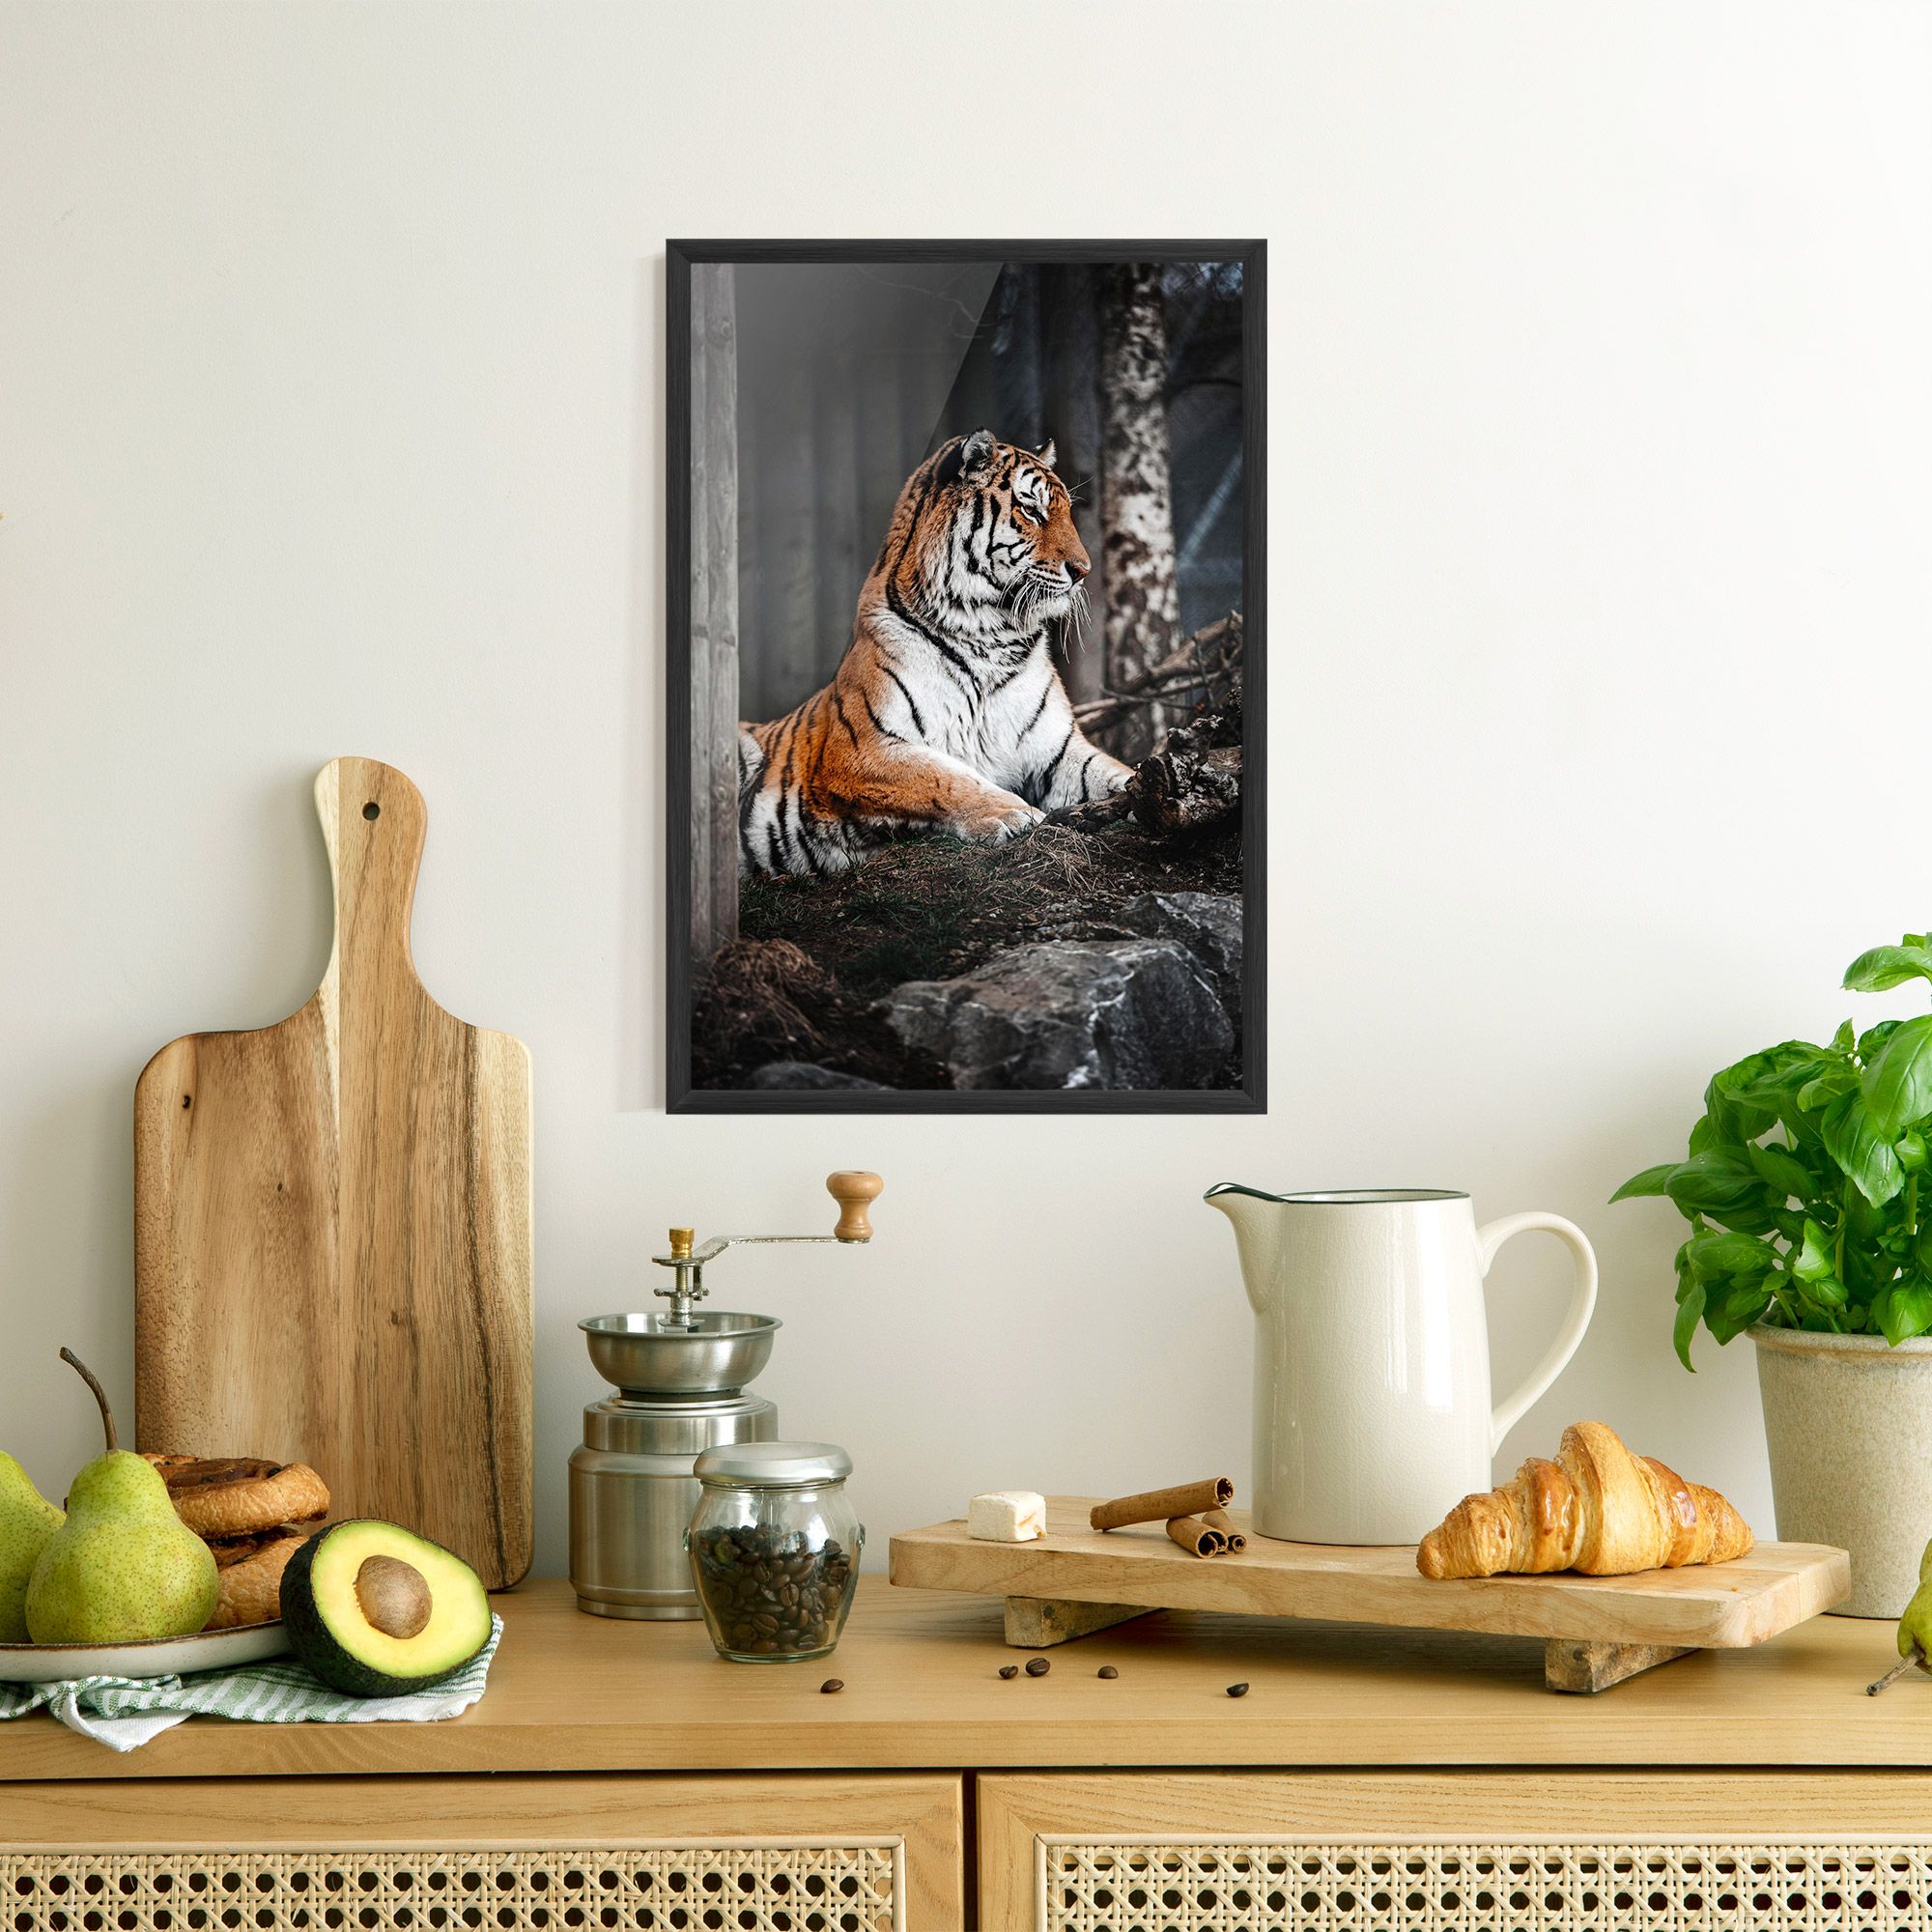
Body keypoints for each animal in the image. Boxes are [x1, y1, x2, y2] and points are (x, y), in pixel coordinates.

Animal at [737, 427, 1136, 878]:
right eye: (1031, 510)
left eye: (1067, 511)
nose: (1083, 571)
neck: (991, 635)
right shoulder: (860, 750)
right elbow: (944, 777)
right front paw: (1012, 813)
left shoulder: (1057, 751)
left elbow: (1113, 771)